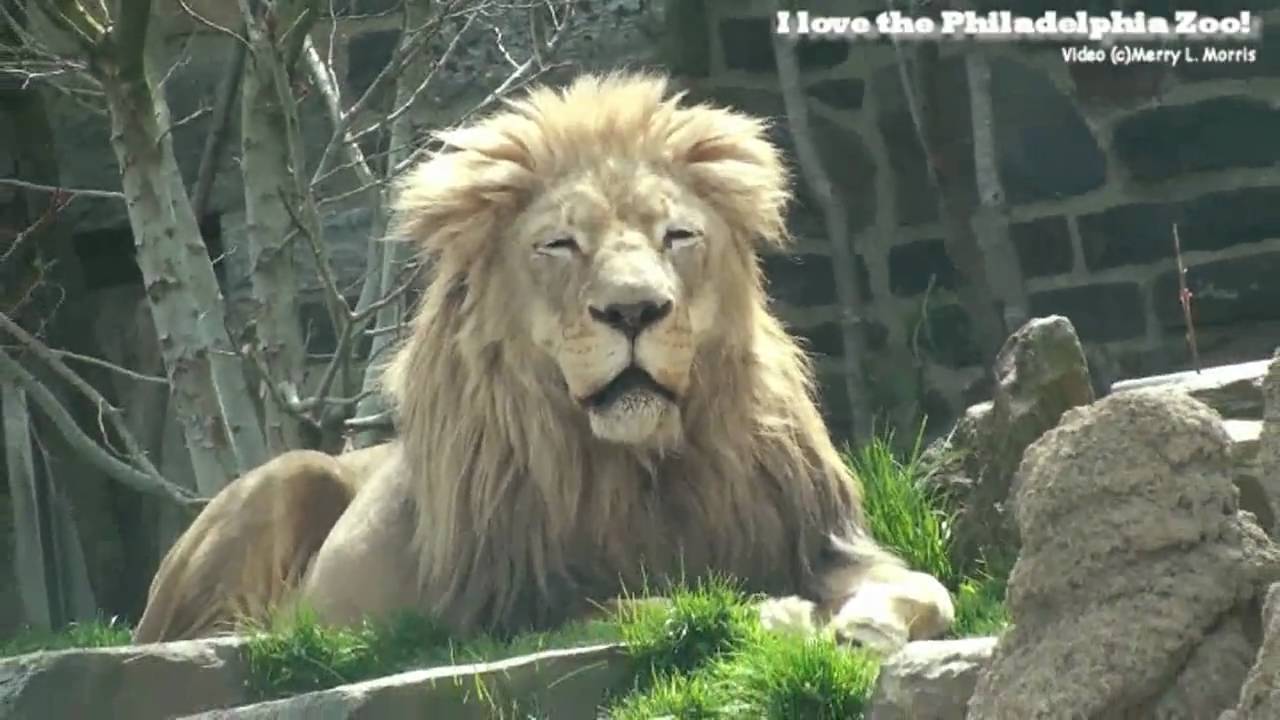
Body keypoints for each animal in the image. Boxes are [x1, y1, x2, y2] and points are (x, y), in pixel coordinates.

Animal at [133, 72, 954, 653]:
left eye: (678, 236)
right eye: (560, 245)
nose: (634, 310)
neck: (645, 466)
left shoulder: (821, 538)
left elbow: (926, 585)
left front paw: (867, 624)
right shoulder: (505, 606)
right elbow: (654, 605)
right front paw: (774, 615)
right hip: (283, 481)